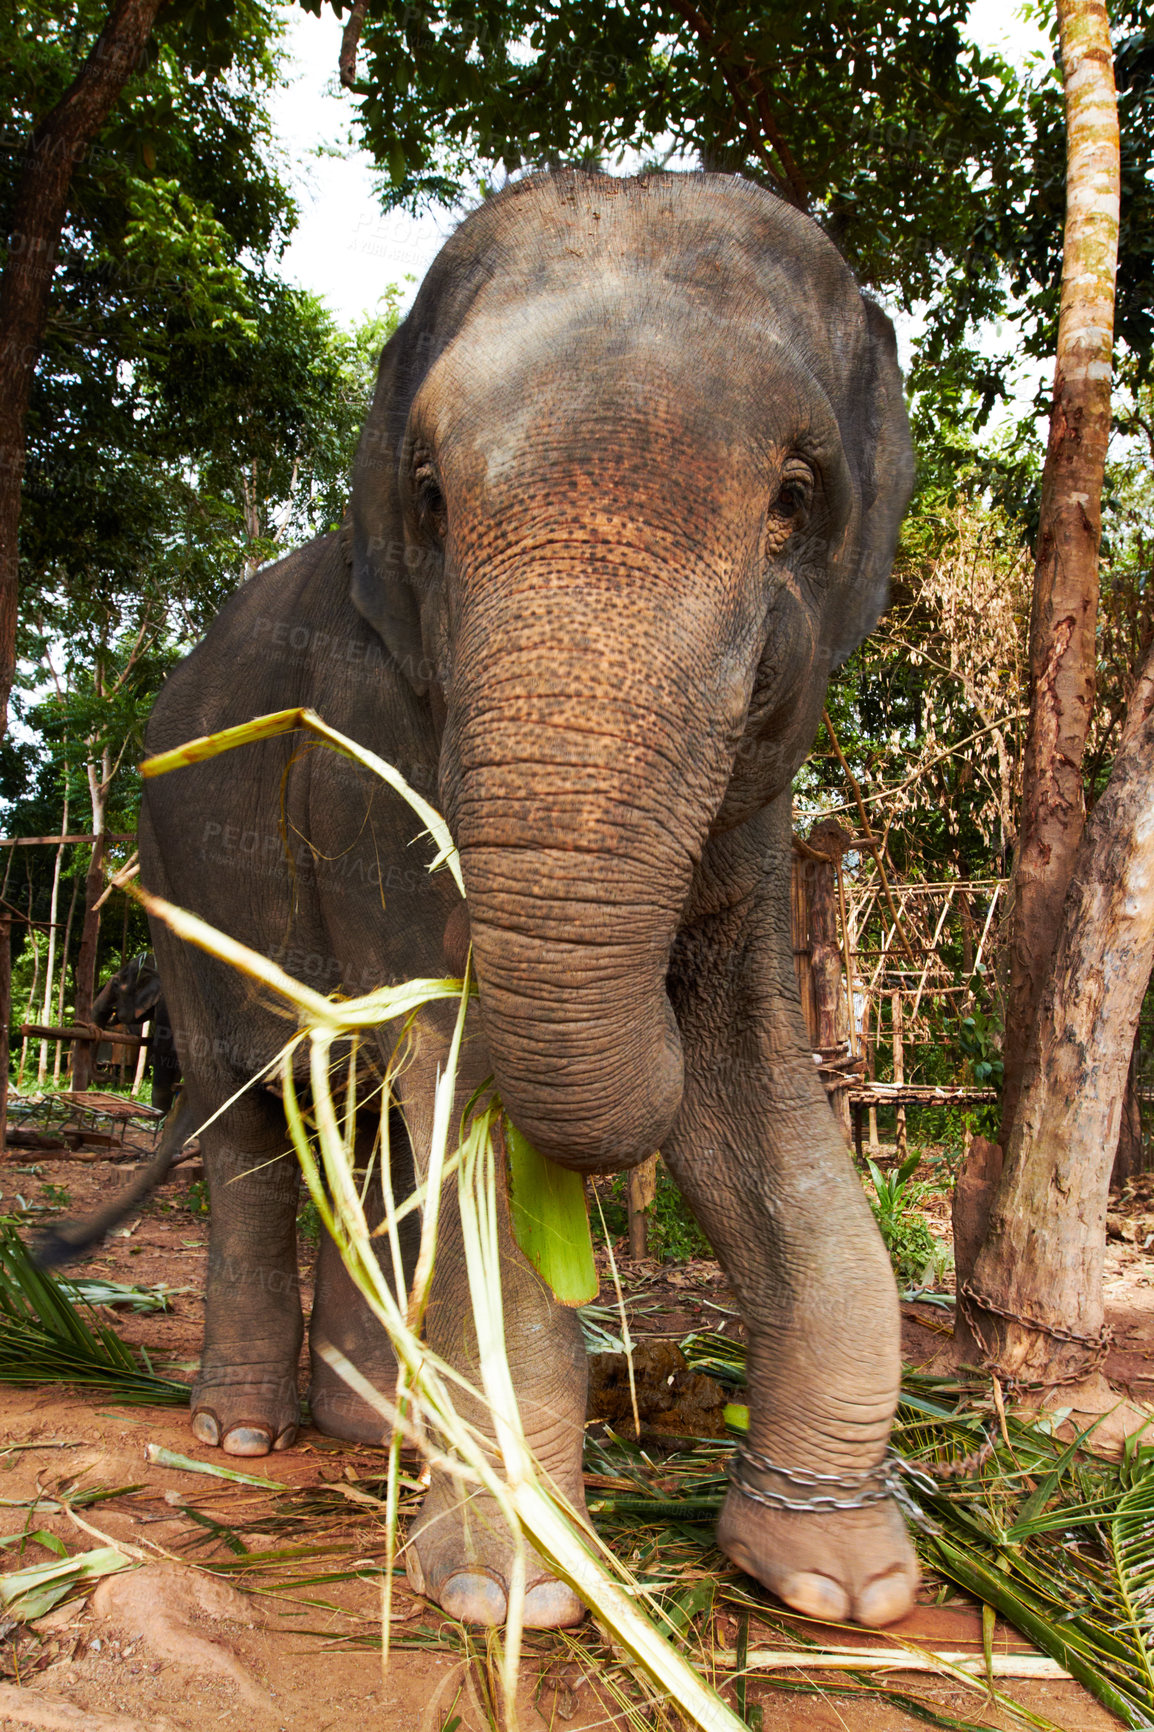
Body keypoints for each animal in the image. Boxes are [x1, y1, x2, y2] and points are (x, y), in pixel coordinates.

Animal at [141, 172, 914, 1635]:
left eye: (791, 500)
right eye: (431, 500)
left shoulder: (750, 821)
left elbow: (747, 1093)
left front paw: (843, 1583)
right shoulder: (369, 764)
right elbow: (468, 1094)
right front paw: (507, 1595)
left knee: (370, 1138)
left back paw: (378, 1430)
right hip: (177, 890)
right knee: (258, 1125)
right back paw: (247, 1435)